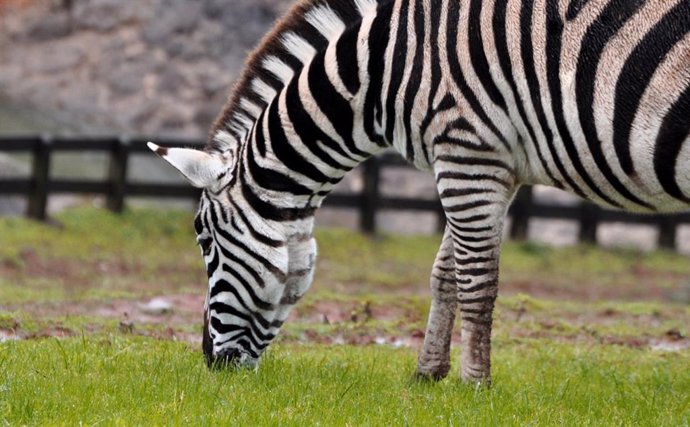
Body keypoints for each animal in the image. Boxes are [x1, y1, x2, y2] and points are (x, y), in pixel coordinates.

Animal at [148, 0, 688, 386]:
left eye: (205, 242)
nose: (210, 365)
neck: (381, 70)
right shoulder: (492, 165)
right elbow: (444, 273)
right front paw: (429, 375)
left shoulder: (467, 151)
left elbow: (476, 279)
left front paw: (475, 386)